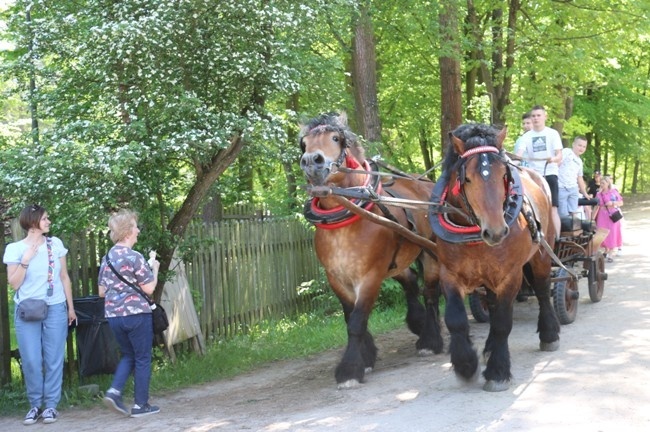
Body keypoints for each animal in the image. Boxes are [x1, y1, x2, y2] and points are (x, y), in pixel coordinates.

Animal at [298, 111, 440, 388]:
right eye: (304, 143)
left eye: (336, 138)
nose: (311, 161)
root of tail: (425, 182)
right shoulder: (336, 277)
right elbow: (349, 316)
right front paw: (366, 356)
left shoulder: (371, 276)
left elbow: (357, 320)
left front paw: (350, 370)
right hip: (397, 260)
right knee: (411, 281)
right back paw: (418, 322)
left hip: (429, 254)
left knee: (430, 293)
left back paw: (431, 340)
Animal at [428, 122, 560, 392]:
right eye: (467, 178)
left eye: (504, 176)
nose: (496, 231)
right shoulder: (449, 273)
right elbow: (456, 319)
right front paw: (466, 364)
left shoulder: (510, 275)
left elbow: (502, 322)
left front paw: (498, 371)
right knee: (491, 301)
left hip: (542, 254)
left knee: (542, 291)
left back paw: (549, 334)